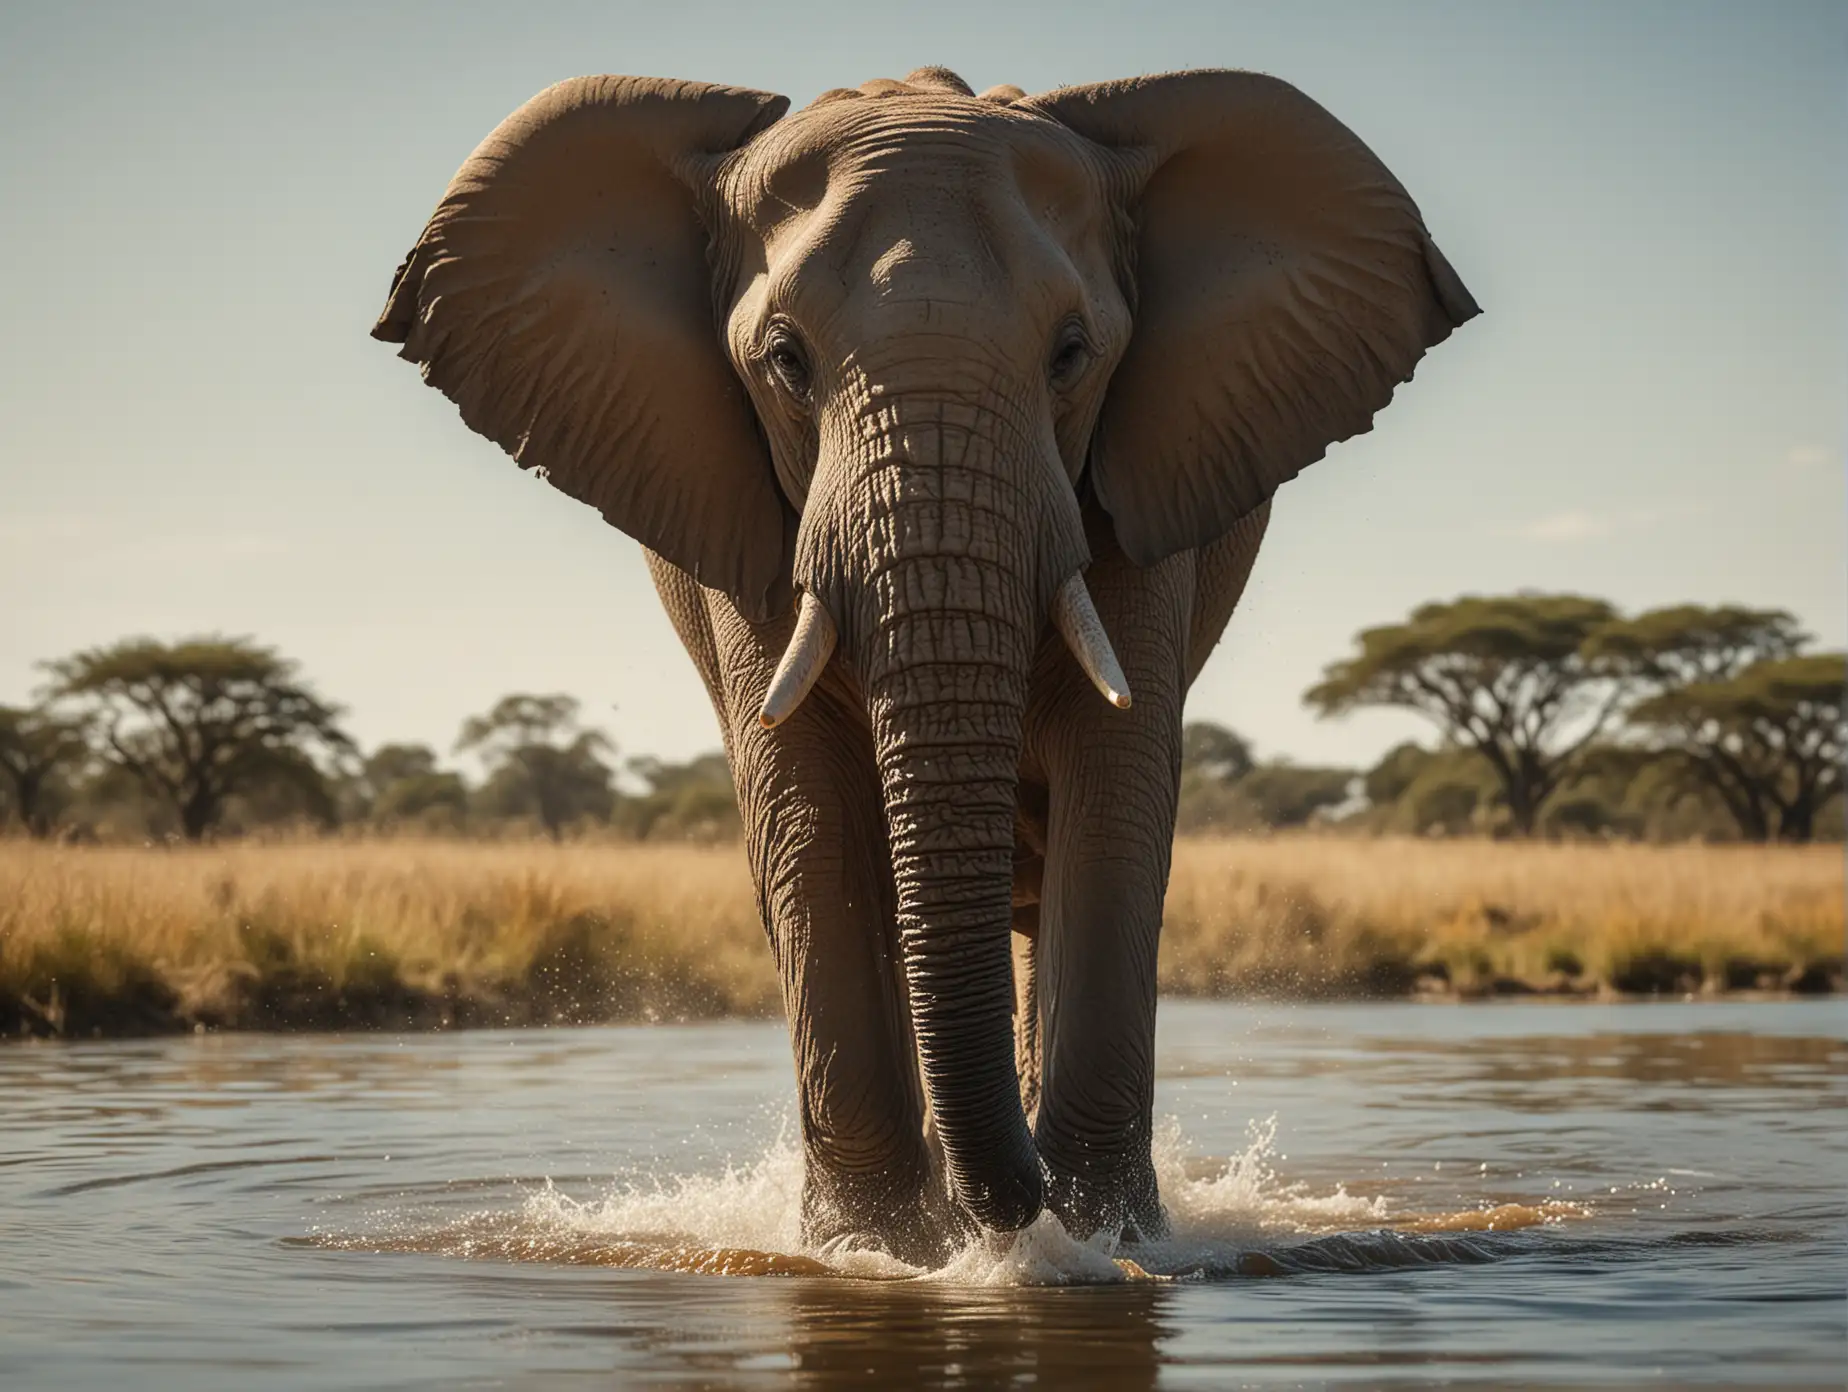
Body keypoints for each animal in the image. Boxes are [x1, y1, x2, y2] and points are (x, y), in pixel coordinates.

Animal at [375, 62, 1471, 1257]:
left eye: (1072, 354)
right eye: (786, 361)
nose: (1012, 1205)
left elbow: (1119, 789)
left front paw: (1102, 1243)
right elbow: (805, 808)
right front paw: (880, 1250)